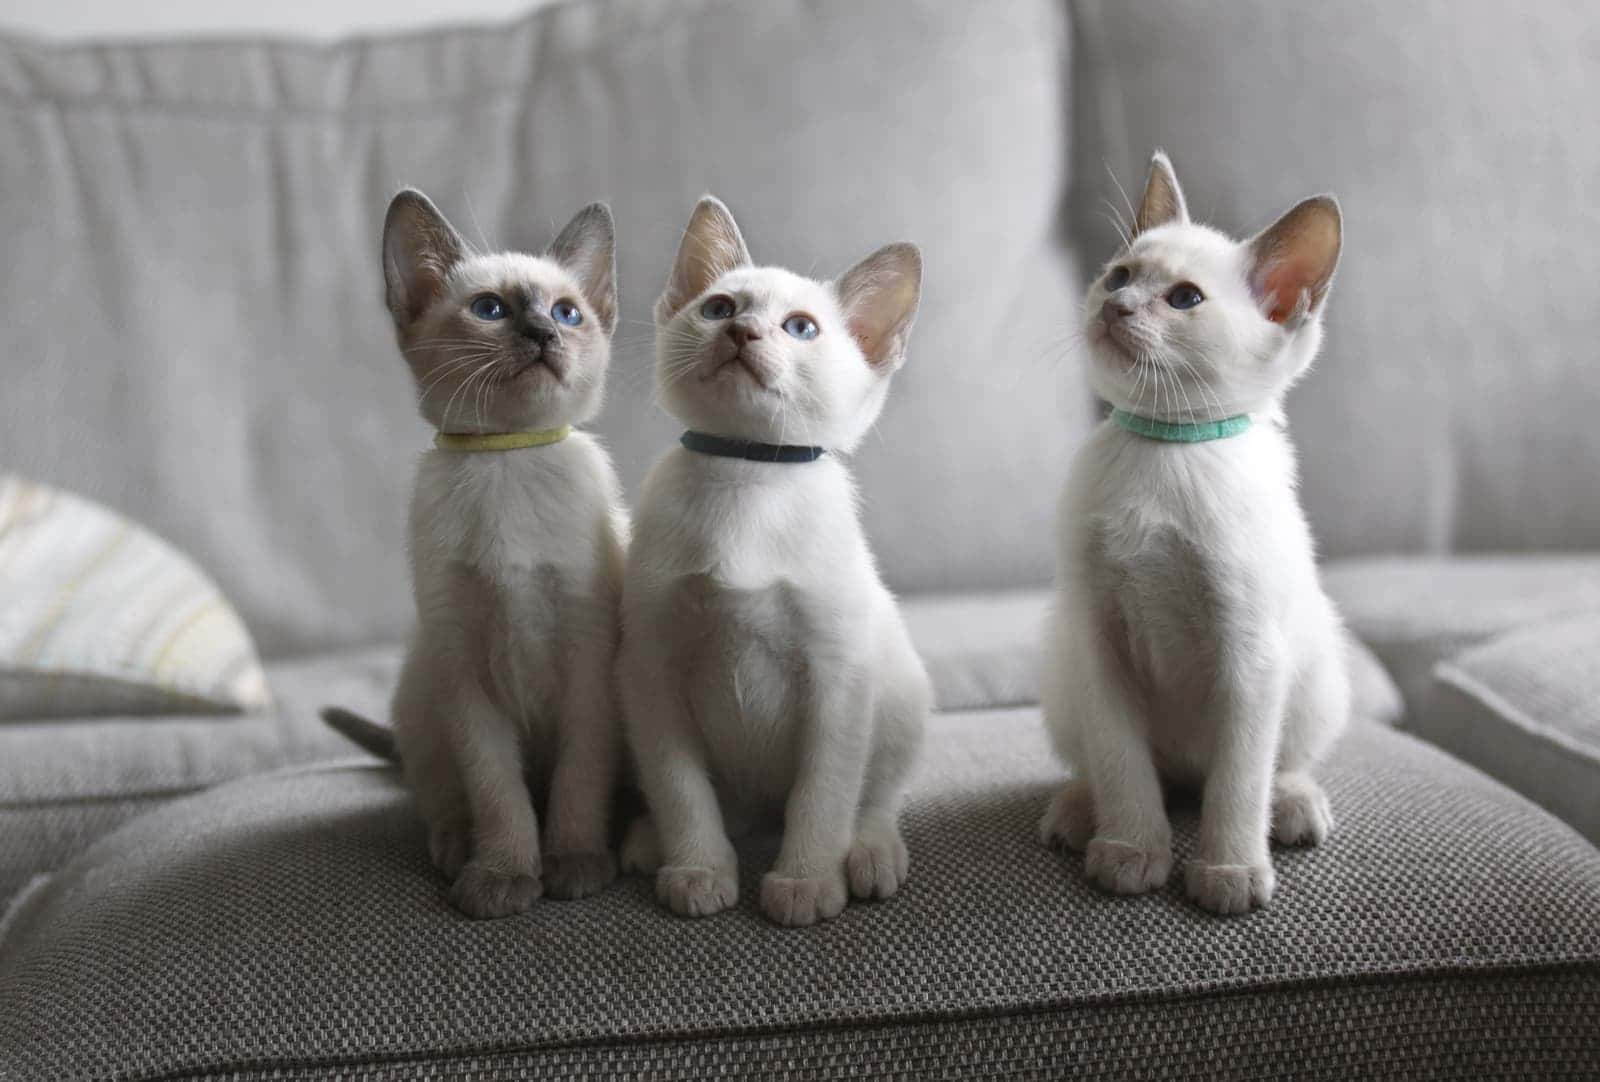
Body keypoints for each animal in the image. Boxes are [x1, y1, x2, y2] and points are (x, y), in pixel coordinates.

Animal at [617, 198, 934, 928]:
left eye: (800, 328)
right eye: (718, 307)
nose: (743, 330)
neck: (747, 473)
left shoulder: (837, 677)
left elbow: (822, 795)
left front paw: (806, 882)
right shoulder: (651, 671)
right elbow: (681, 789)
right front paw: (699, 870)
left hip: (901, 697)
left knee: (873, 797)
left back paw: (871, 855)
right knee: (724, 807)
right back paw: (653, 844)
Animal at [1036, 152, 1350, 915]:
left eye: (1183, 299)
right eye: (1120, 275)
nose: (1115, 307)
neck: (1166, 446)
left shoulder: (1251, 650)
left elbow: (1238, 781)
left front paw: (1229, 874)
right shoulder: (1098, 637)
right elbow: (1122, 762)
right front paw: (1129, 851)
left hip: (1317, 671)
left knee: (1272, 765)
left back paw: (1294, 806)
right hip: (1061, 664)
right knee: (1125, 770)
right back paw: (1080, 812)